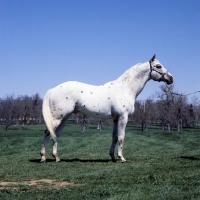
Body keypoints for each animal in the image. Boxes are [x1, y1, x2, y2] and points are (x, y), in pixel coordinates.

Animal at [40, 54, 173, 162]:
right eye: (158, 66)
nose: (171, 78)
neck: (125, 89)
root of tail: (52, 90)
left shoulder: (115, 119)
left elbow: (114, 137)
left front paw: (112, 156)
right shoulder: (123, 118)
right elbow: (121, 138)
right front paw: (122, 158)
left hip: (65, 118)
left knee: (56, 134)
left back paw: (56, 157)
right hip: (57, 118)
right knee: (47, 133)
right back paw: (43, 157)